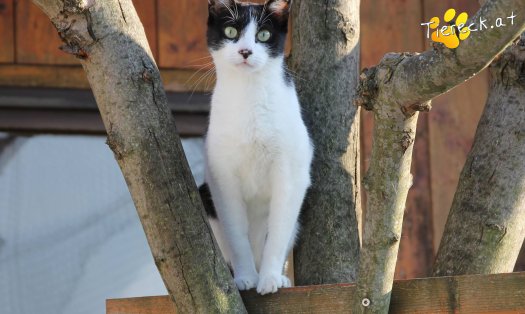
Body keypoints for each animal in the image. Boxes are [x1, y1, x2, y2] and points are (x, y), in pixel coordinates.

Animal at [202, 0, 312, 294]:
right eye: (231, 31)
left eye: (263, 35)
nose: (245, 51)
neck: (249, 94)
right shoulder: (222, 177)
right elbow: (236, 234)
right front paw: (245, 277)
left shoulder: (290, 174)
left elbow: (277, 232)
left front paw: (270, 278)